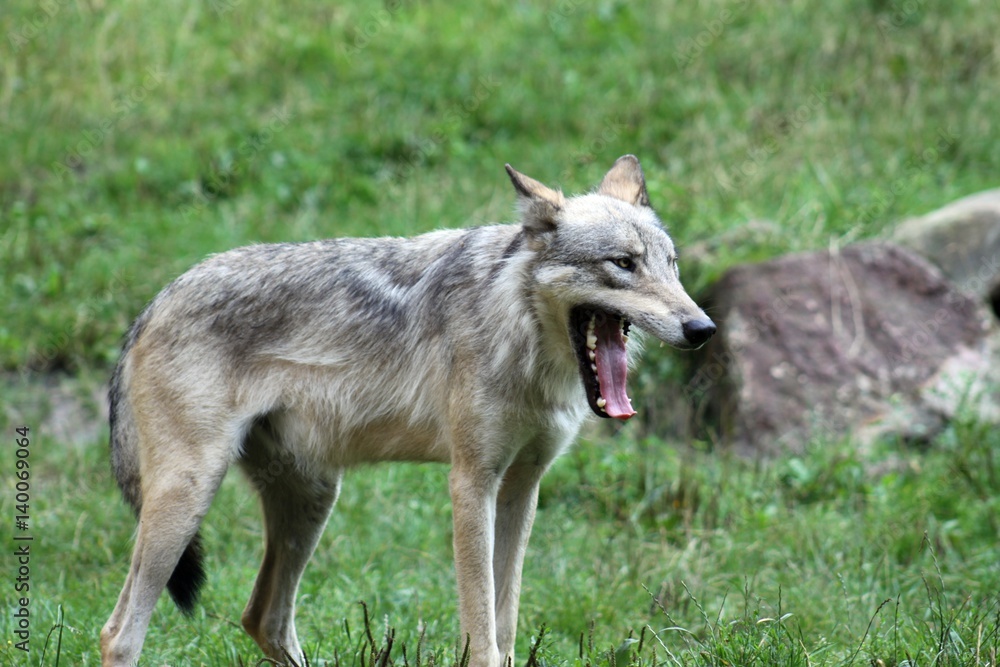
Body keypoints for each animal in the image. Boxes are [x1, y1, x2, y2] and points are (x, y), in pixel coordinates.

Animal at [100, 155, 716, 667]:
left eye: (671, 265)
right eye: (623, 264)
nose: (702, 328)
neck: (518, 330)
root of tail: (153, 303)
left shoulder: (522, 487)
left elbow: (507, 624)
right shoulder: (471, 482)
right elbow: (482, 636)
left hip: (313, 499)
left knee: (263, 618)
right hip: (189, 497)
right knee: (120, 633)